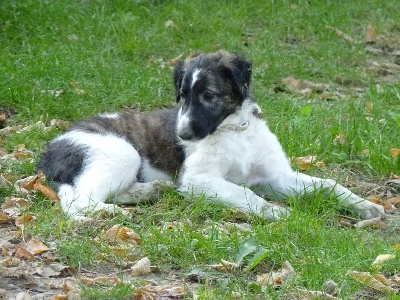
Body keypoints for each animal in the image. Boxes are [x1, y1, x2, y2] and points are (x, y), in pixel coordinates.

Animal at [37, 50, 384, 220]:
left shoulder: (275, 176)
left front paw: (364, 205)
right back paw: (111, 211)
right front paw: (274, 212)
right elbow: (244, 194)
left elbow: (328, 185)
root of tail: (47, 153)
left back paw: (148, 191)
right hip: (120, 153)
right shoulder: (198, 180)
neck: (234, 130)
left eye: (208, 96)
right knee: (78, 200)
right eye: (183, 96)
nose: (183, 134)